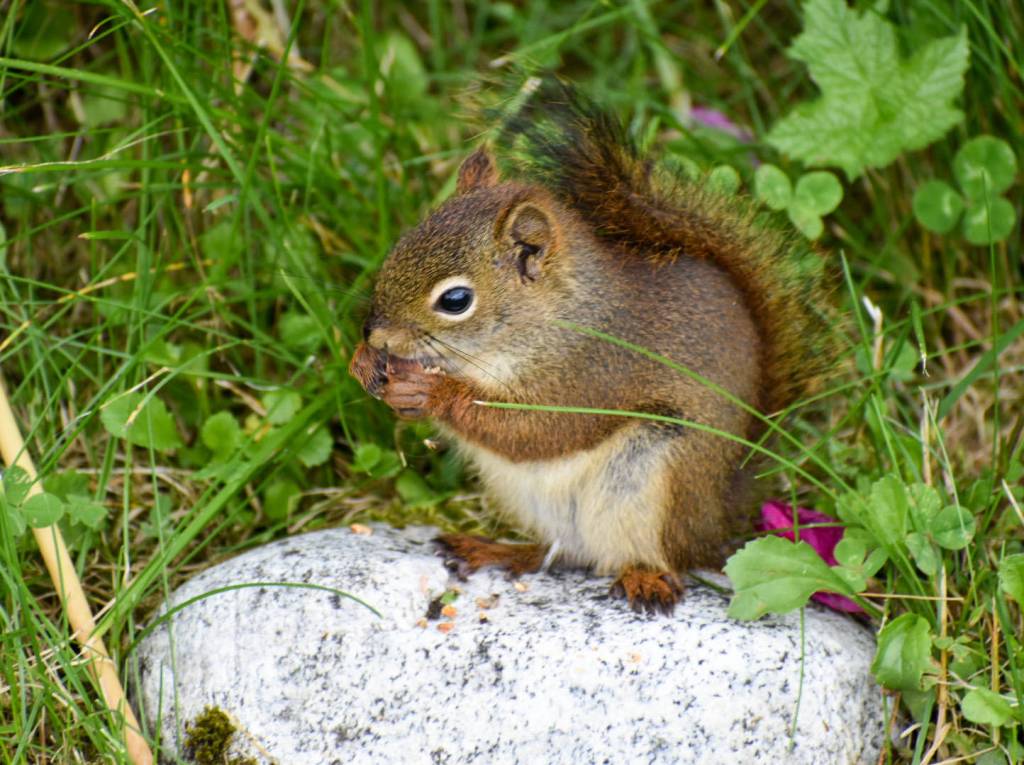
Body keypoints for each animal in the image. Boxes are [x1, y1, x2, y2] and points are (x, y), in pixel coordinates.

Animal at [349, 81, 838, 613]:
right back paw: (496, 550)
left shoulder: (593, 373)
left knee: (650, 555)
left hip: (651, 481)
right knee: (561, 552)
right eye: (400, 247)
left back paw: (645, 576)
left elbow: (539, 431)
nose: (374, 334)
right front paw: (365, 364)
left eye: (455, 300)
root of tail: (717, 521)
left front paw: (433, 394)